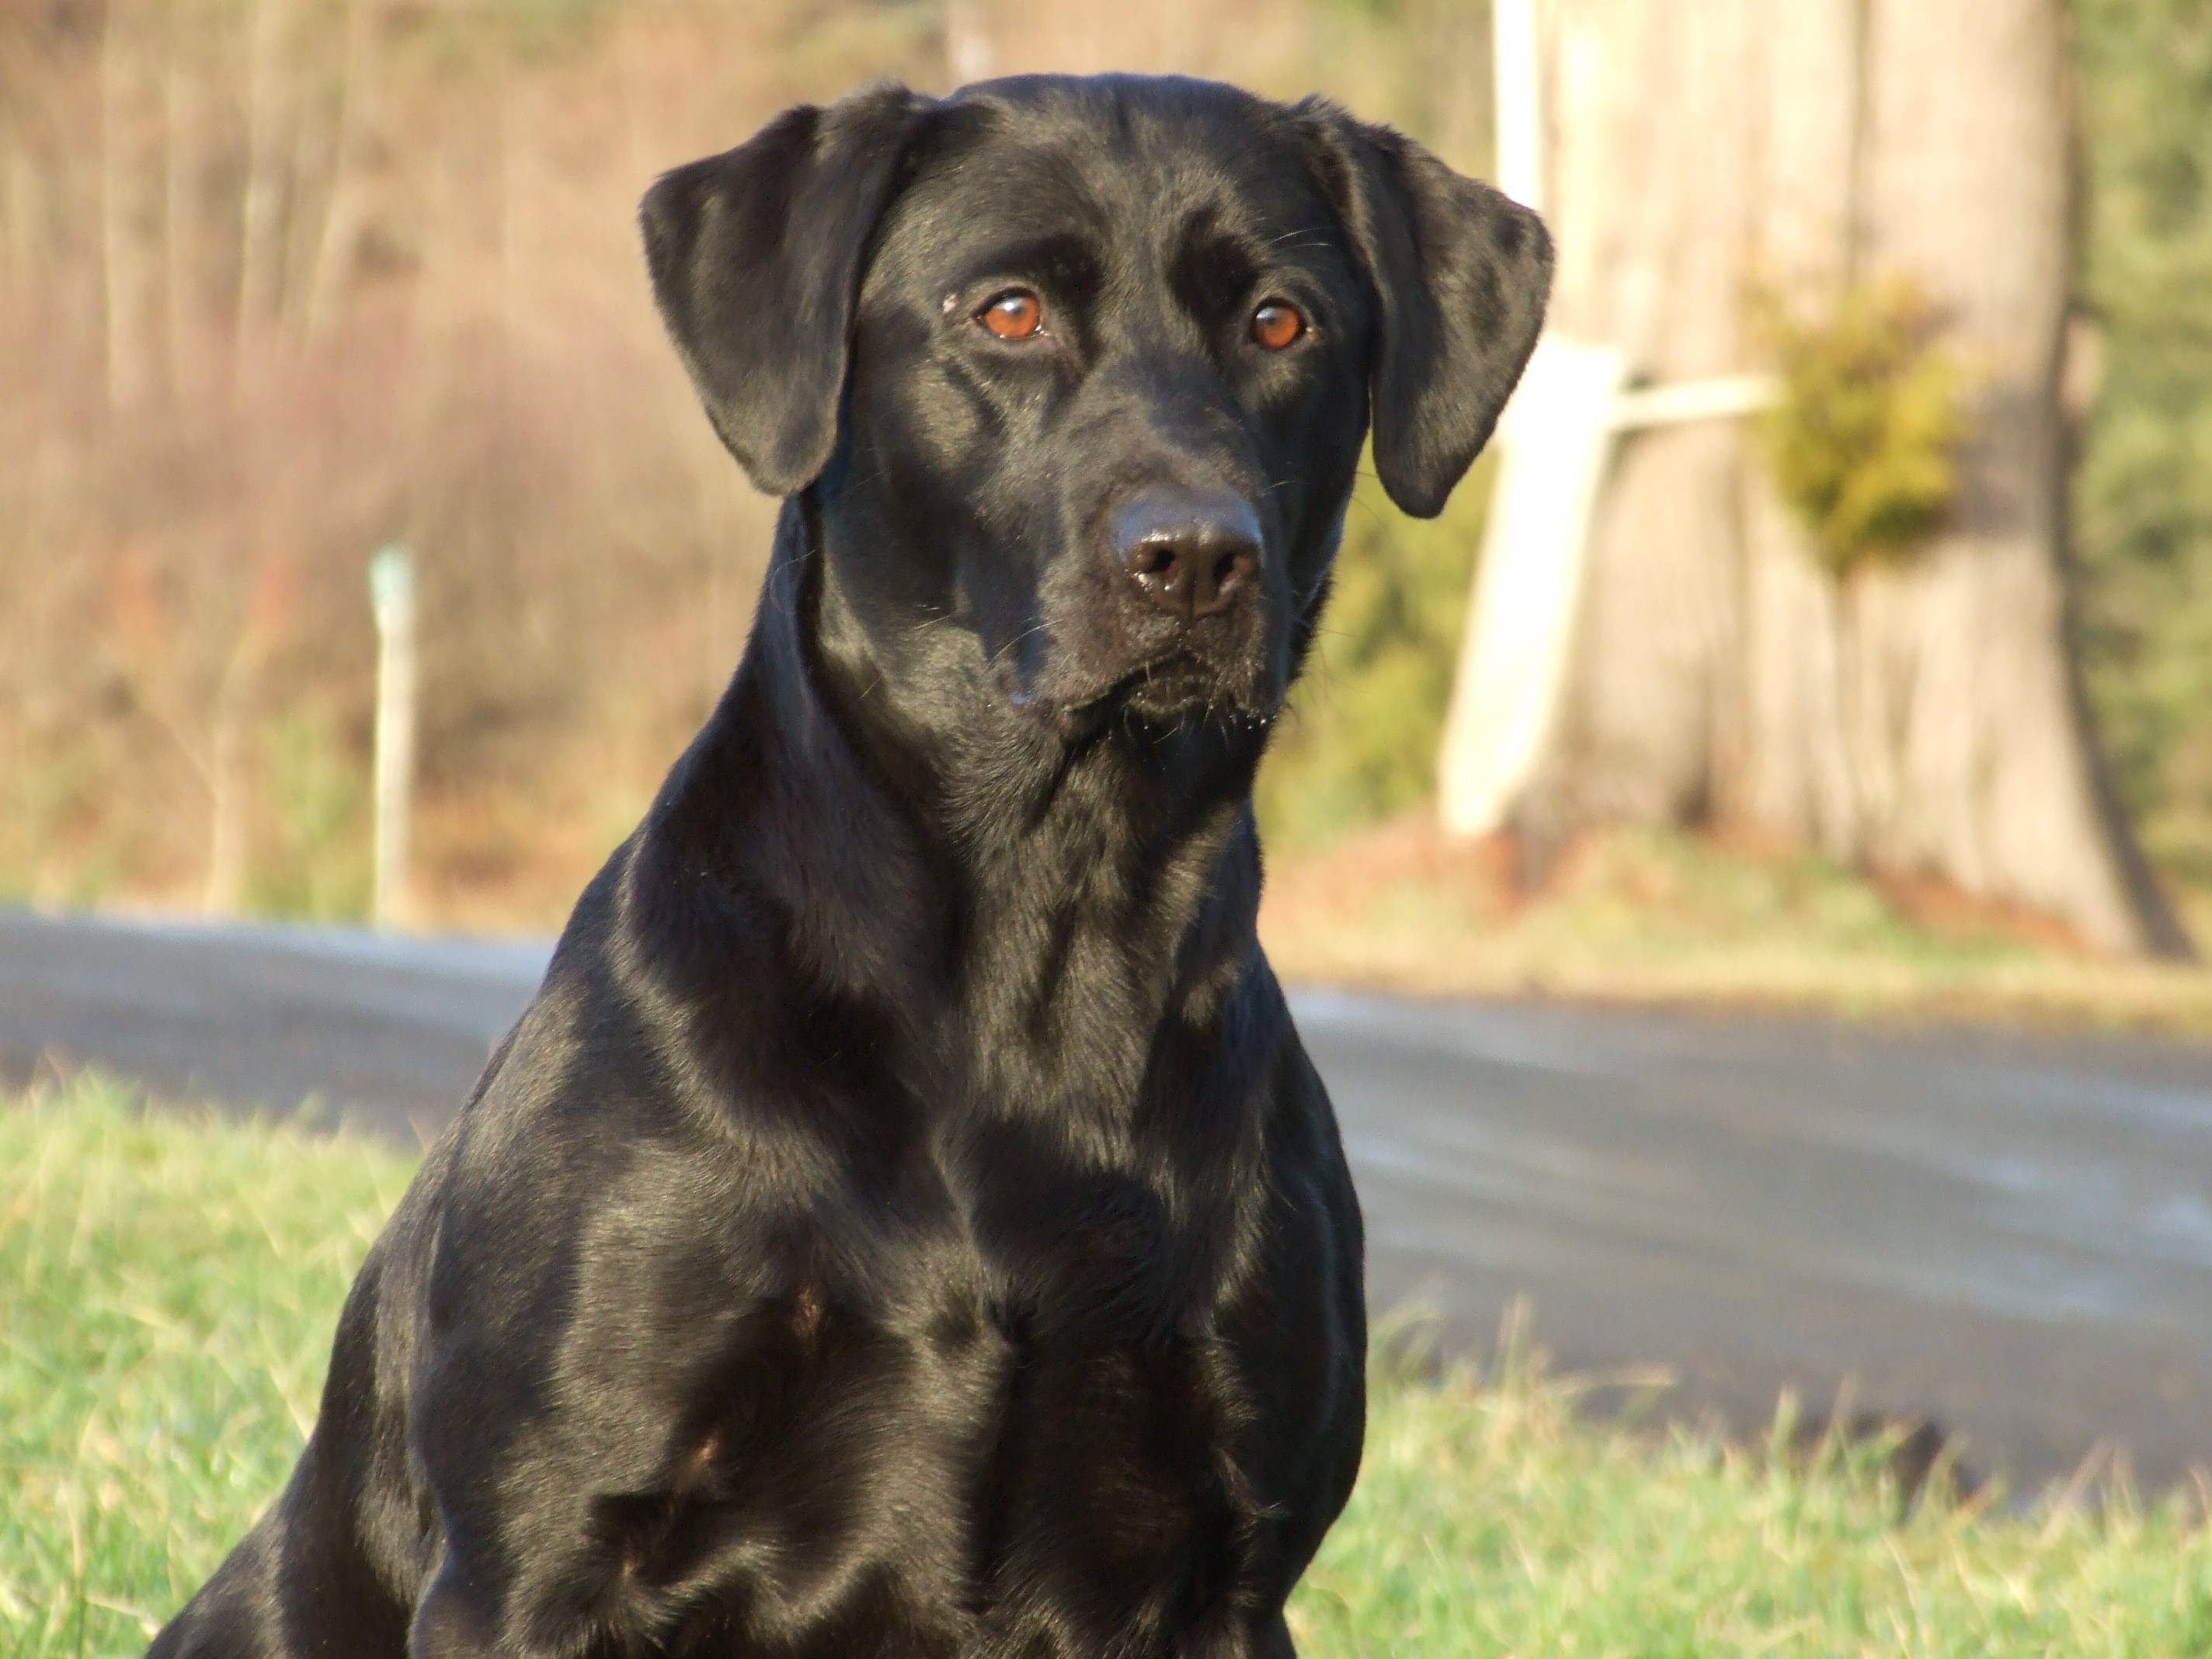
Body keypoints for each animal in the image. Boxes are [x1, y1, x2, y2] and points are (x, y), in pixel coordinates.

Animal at [147, 71, 1548, 1659]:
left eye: (1279, 323)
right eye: (1007, 312)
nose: (1195, 555)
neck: (1039, 939)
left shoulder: (1229, 1571)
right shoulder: (537, 1552)